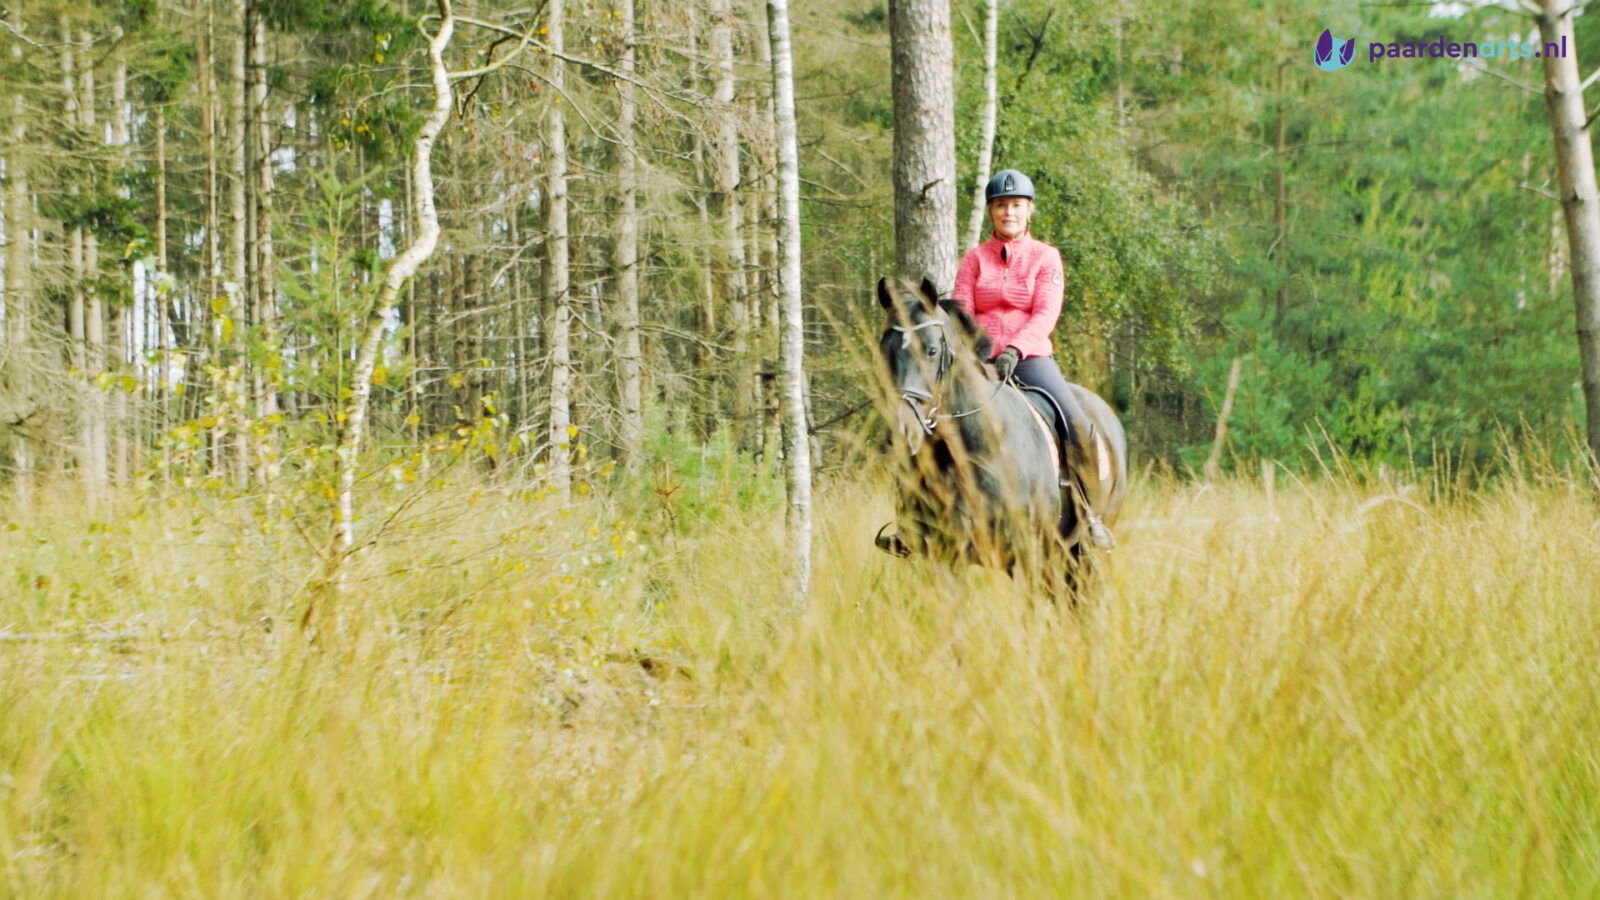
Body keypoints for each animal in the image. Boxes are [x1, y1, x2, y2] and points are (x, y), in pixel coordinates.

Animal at [871, 275, 1128, 594]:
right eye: (884, 350)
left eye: (931, 350)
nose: (903, 428)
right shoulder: (943, 556)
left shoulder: (1026, 555)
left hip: (1081, 554)